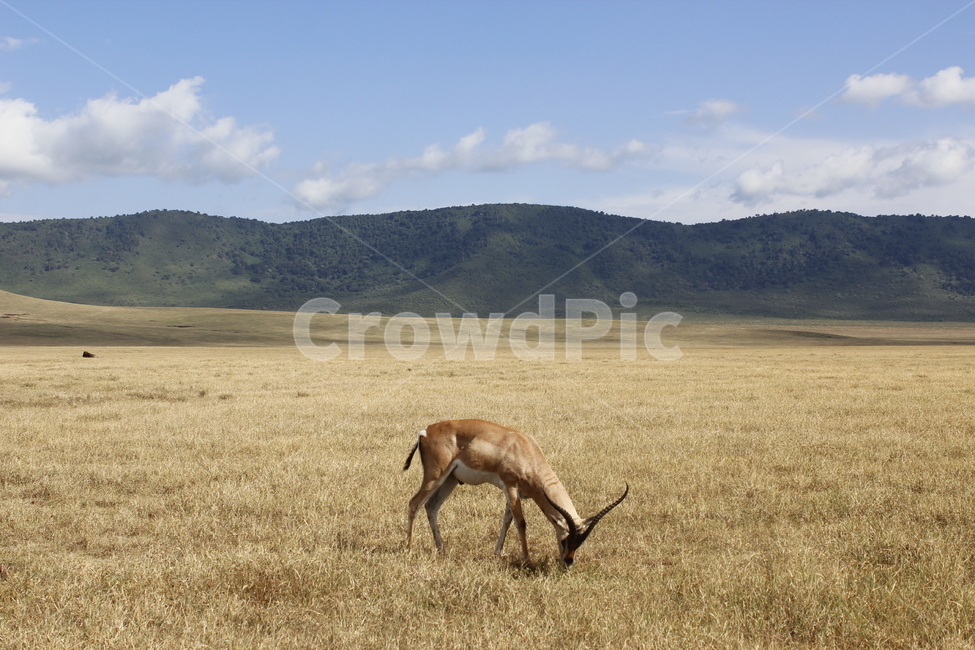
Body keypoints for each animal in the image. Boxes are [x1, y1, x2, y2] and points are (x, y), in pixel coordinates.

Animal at [403, 419, 628, 566]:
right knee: (414, 503)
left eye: (580, 542)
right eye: (565, 540)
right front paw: (527, 560)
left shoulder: (515, 494)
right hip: (435, 477)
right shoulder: (510, 486)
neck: (525, 449)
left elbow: (507, 521)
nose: (568, 562)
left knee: (431, 507)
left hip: (450, 480)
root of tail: (424, 432)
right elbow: (521, 523)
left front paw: (498, 553)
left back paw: (442, 550)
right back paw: (409, 550)